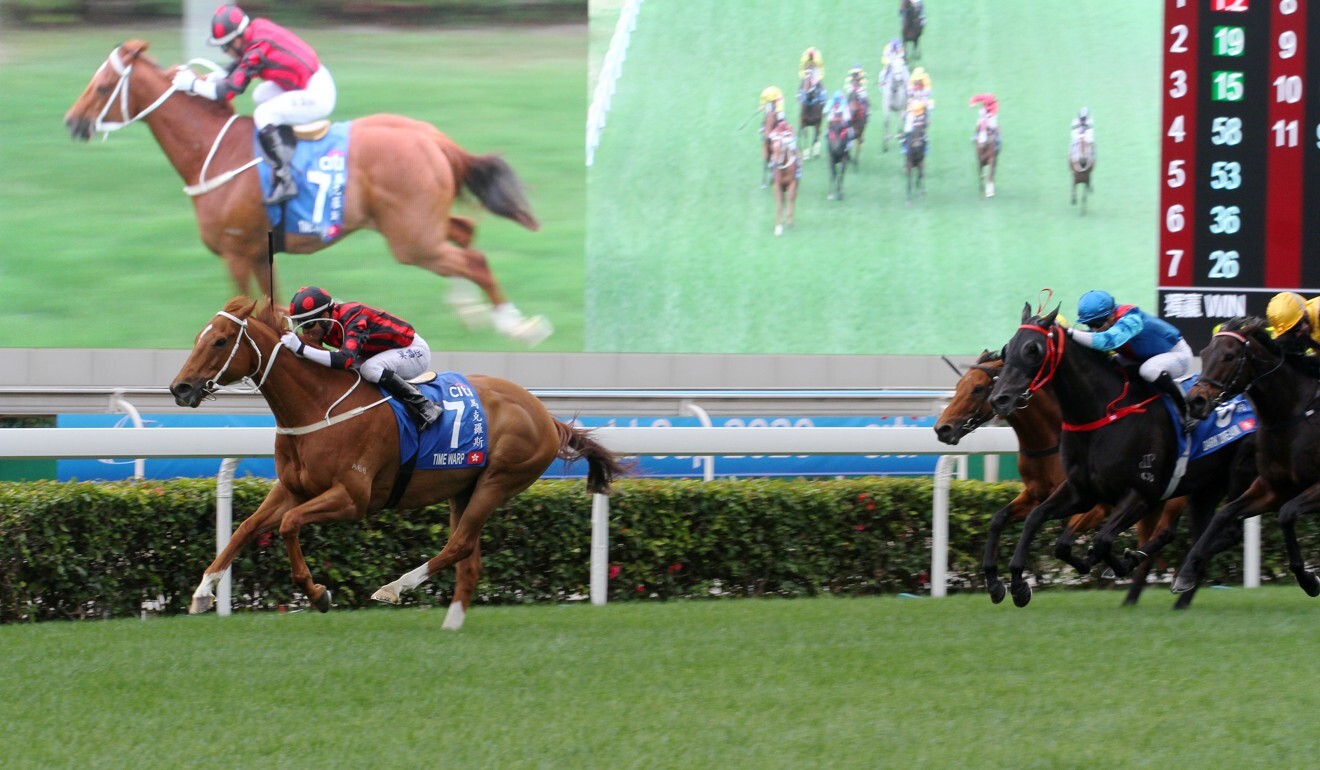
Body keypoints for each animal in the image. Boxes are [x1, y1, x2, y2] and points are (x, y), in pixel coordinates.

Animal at [63, 39, 551, 346]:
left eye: (103, 87)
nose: (72, 122)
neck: (213, 151)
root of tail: (432, 138)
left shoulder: (236, 253)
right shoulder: (259, 253)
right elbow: (276, 312)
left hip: (411, 238)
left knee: (475, 260)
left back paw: (518, 327)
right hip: (421, 225)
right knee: (465, 232)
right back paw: (472, 313)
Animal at [167, 295, 625, 626]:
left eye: (220, 341)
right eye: (199, 337)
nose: (180, 388)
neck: (317, 406)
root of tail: (544, 414)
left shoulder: (352, 498)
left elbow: (289, 525)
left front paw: (318, 594)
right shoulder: (293, 488)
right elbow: (245, 527)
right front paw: (203, 592)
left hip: (499, 480)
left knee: (459, 546)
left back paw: (394, 587)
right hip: (463, 488)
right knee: (469, 561)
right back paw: (450, 625)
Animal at [929, 348, 1198, 607]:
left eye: (978, 388)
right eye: (958, 386)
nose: (942, 429)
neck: (1051, 440)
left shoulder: (1095, 505)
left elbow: (1064, 542)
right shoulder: (1036, 495)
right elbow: (998, 519)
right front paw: (995, 585)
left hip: (1173, 496)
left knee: (1168, 534)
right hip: (1154, 501)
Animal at [992, 307, 1256, 607]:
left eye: (1033, 349)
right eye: (1007, 348)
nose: (1000, 398)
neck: (1101, 415)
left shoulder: (1139, 494)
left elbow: (1102, 540)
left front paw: (1119, 563)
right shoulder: (1082, 492)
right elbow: (1039, 522)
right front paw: (1016, 584)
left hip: (1235, 478)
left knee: (1222, 530)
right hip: (1205, 489)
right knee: (1199, 533)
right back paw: (1180, 592)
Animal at [1177, 318, 1320, 596]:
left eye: (1229, 356)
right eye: (1205, 353)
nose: (1195, 401)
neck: (1291, 416)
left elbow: (1286, 514)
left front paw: (1309, 580)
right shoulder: (1273, 488)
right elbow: (1223, 514)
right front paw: (1187, 571)